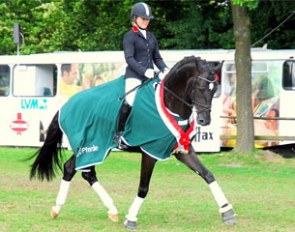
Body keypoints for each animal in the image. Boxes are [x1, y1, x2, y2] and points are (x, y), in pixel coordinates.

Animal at [30, 55, 236, 229]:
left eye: (215, 90)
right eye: (201, 88)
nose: (204, 120)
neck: (169, 104)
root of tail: (66, 106)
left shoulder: (182, 150)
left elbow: (208, 175)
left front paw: (227, 211)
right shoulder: (150, 151)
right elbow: (143, 188)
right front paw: (131, 218)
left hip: (95, 148)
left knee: (74, 169)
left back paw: (81, 209)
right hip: (91, 146)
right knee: (81, 171)